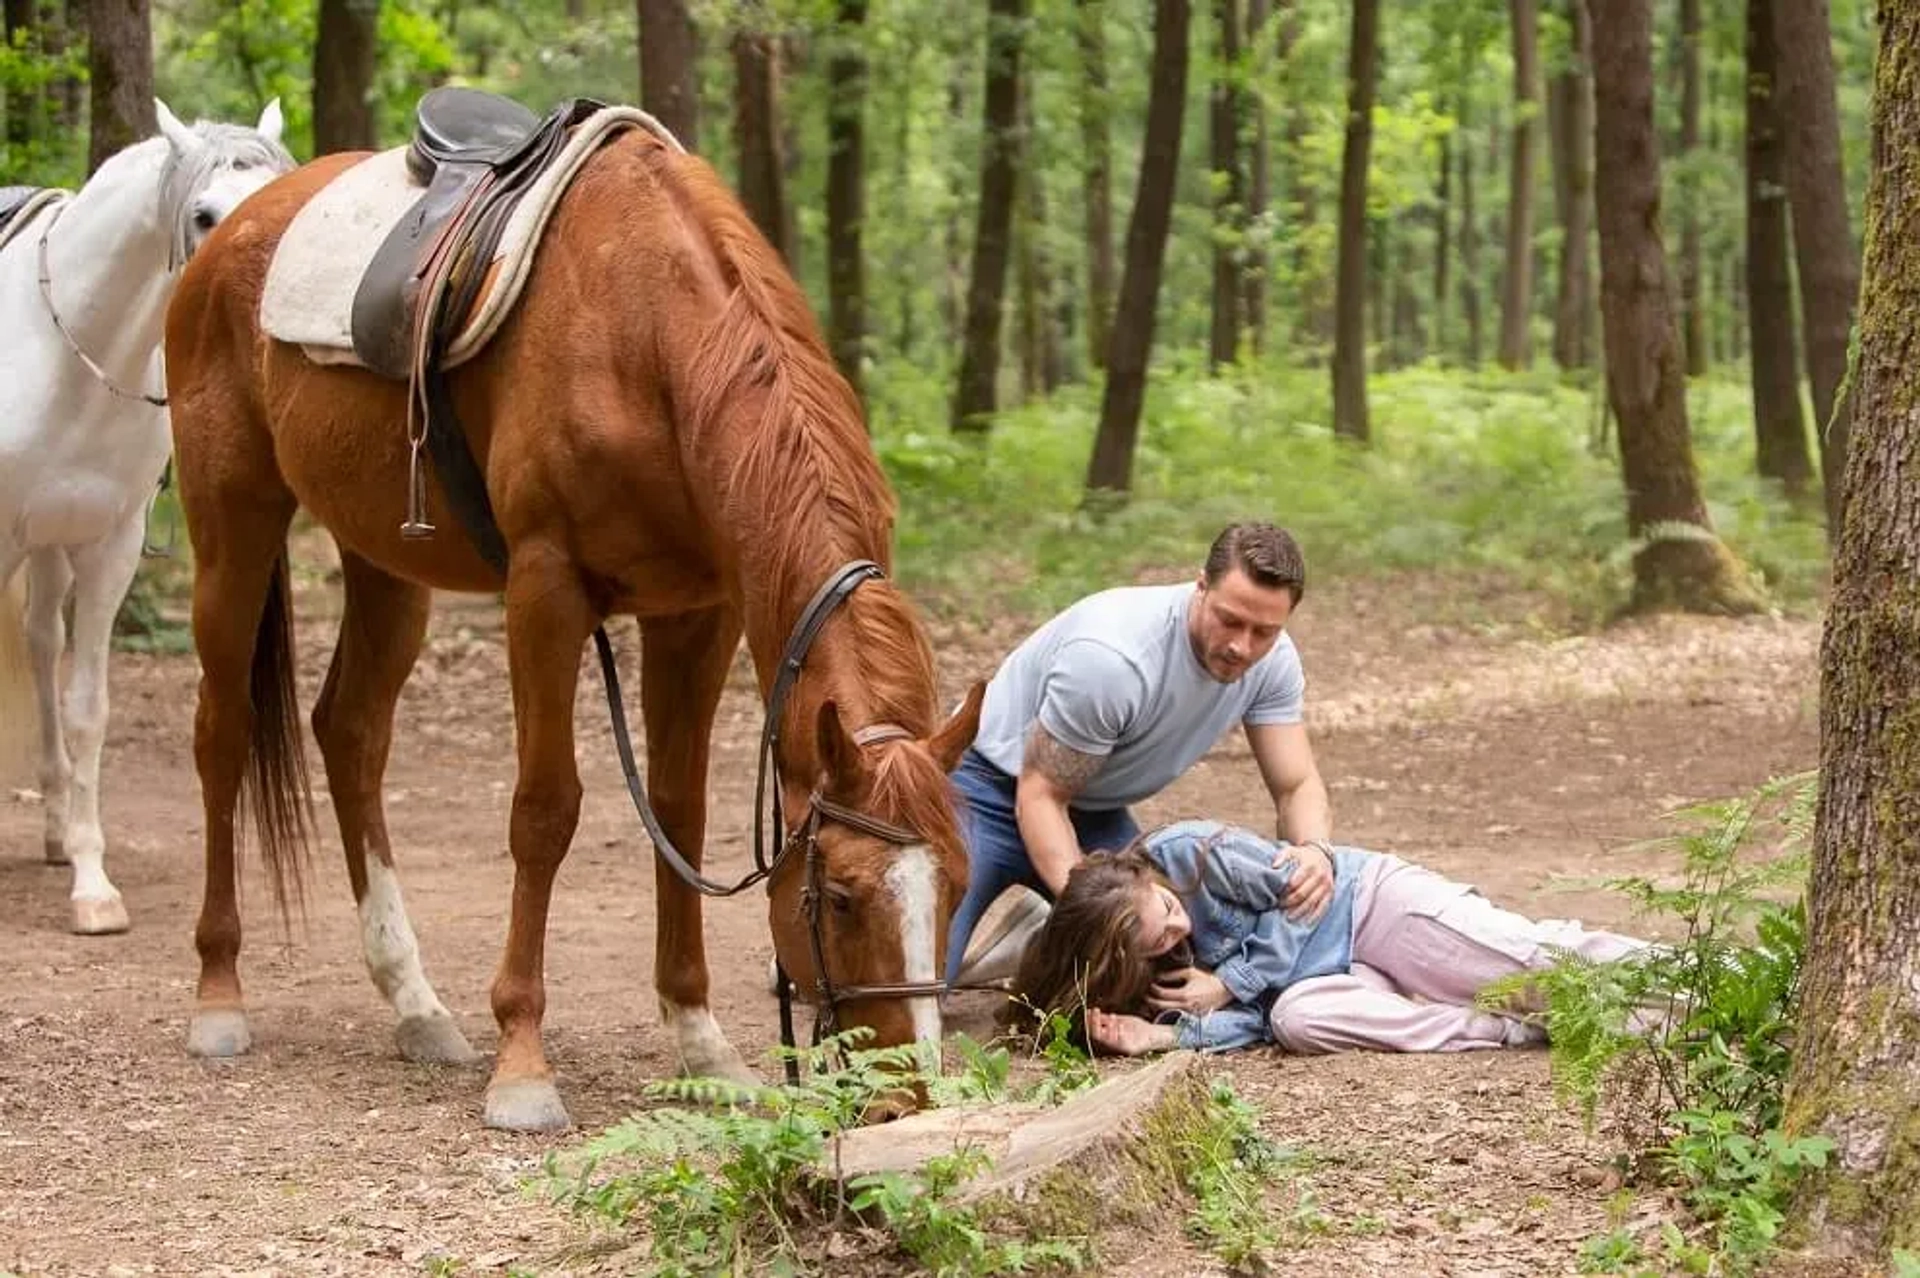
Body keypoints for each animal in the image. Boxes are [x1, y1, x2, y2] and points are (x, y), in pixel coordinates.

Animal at [0, 99, 291, 932]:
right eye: (204, 215)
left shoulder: (110, 547)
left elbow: (88, 708)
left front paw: (92, 885)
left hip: (51, 546)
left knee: (41, 643)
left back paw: (55, 829)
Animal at [161, 126, 975, 1128]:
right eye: (843, 896)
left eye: (959, 885)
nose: (911, 1097)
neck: (651, 345)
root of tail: (235, 228)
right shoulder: (544, 591)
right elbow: (545, 811)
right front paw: (522, 1063)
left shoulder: (696, 614)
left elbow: (679, 810)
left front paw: (701, 1042)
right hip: (230, 527)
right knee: (222, 735)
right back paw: (220, 995)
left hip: (384, 561)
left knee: (349, 734)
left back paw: (415, 1005)